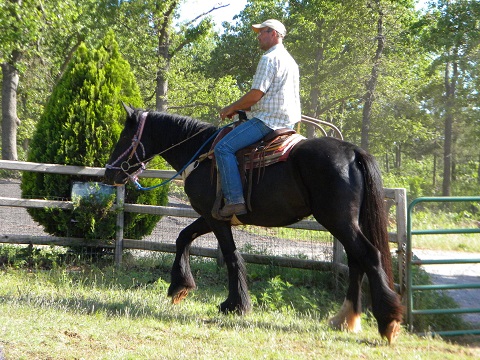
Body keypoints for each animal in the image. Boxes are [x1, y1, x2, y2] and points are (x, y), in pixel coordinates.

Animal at [106, 105, 404, 344]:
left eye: (124, 137)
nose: (110, 173)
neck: (200, 154)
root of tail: (353, 151)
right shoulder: (211, 216)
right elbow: (183, 237)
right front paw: (180, 287)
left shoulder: (215, 218)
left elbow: (231, 256)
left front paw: (235, 305)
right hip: (346, 222)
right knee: (356, 261)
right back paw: (345, 319)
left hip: (338, 220)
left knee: (369, 256)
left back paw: (387, 322)